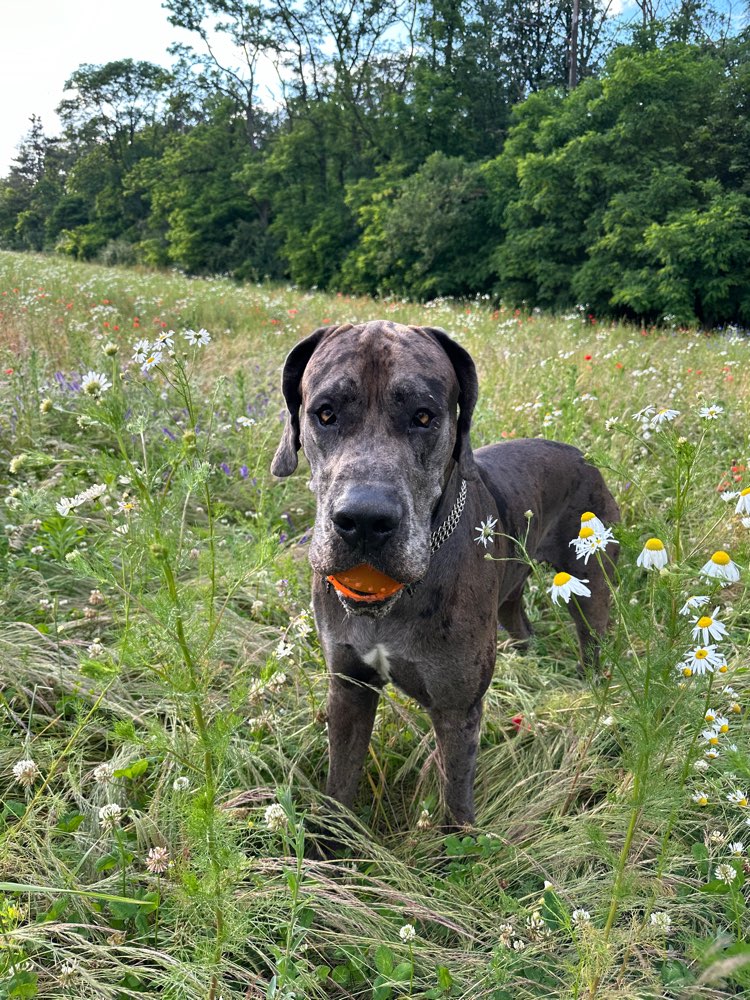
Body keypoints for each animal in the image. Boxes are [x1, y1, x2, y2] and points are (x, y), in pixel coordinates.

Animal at [274, 322, 620, 828]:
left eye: (424, 416)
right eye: (325, 413)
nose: (364, 520)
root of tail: (582, 455)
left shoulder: (456, 710)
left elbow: (456, 803)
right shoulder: (348, 688)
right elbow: (340, 784)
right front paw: (333, 840)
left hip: (590, 584)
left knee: (592, 636)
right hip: (511, 592)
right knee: (521, 622)